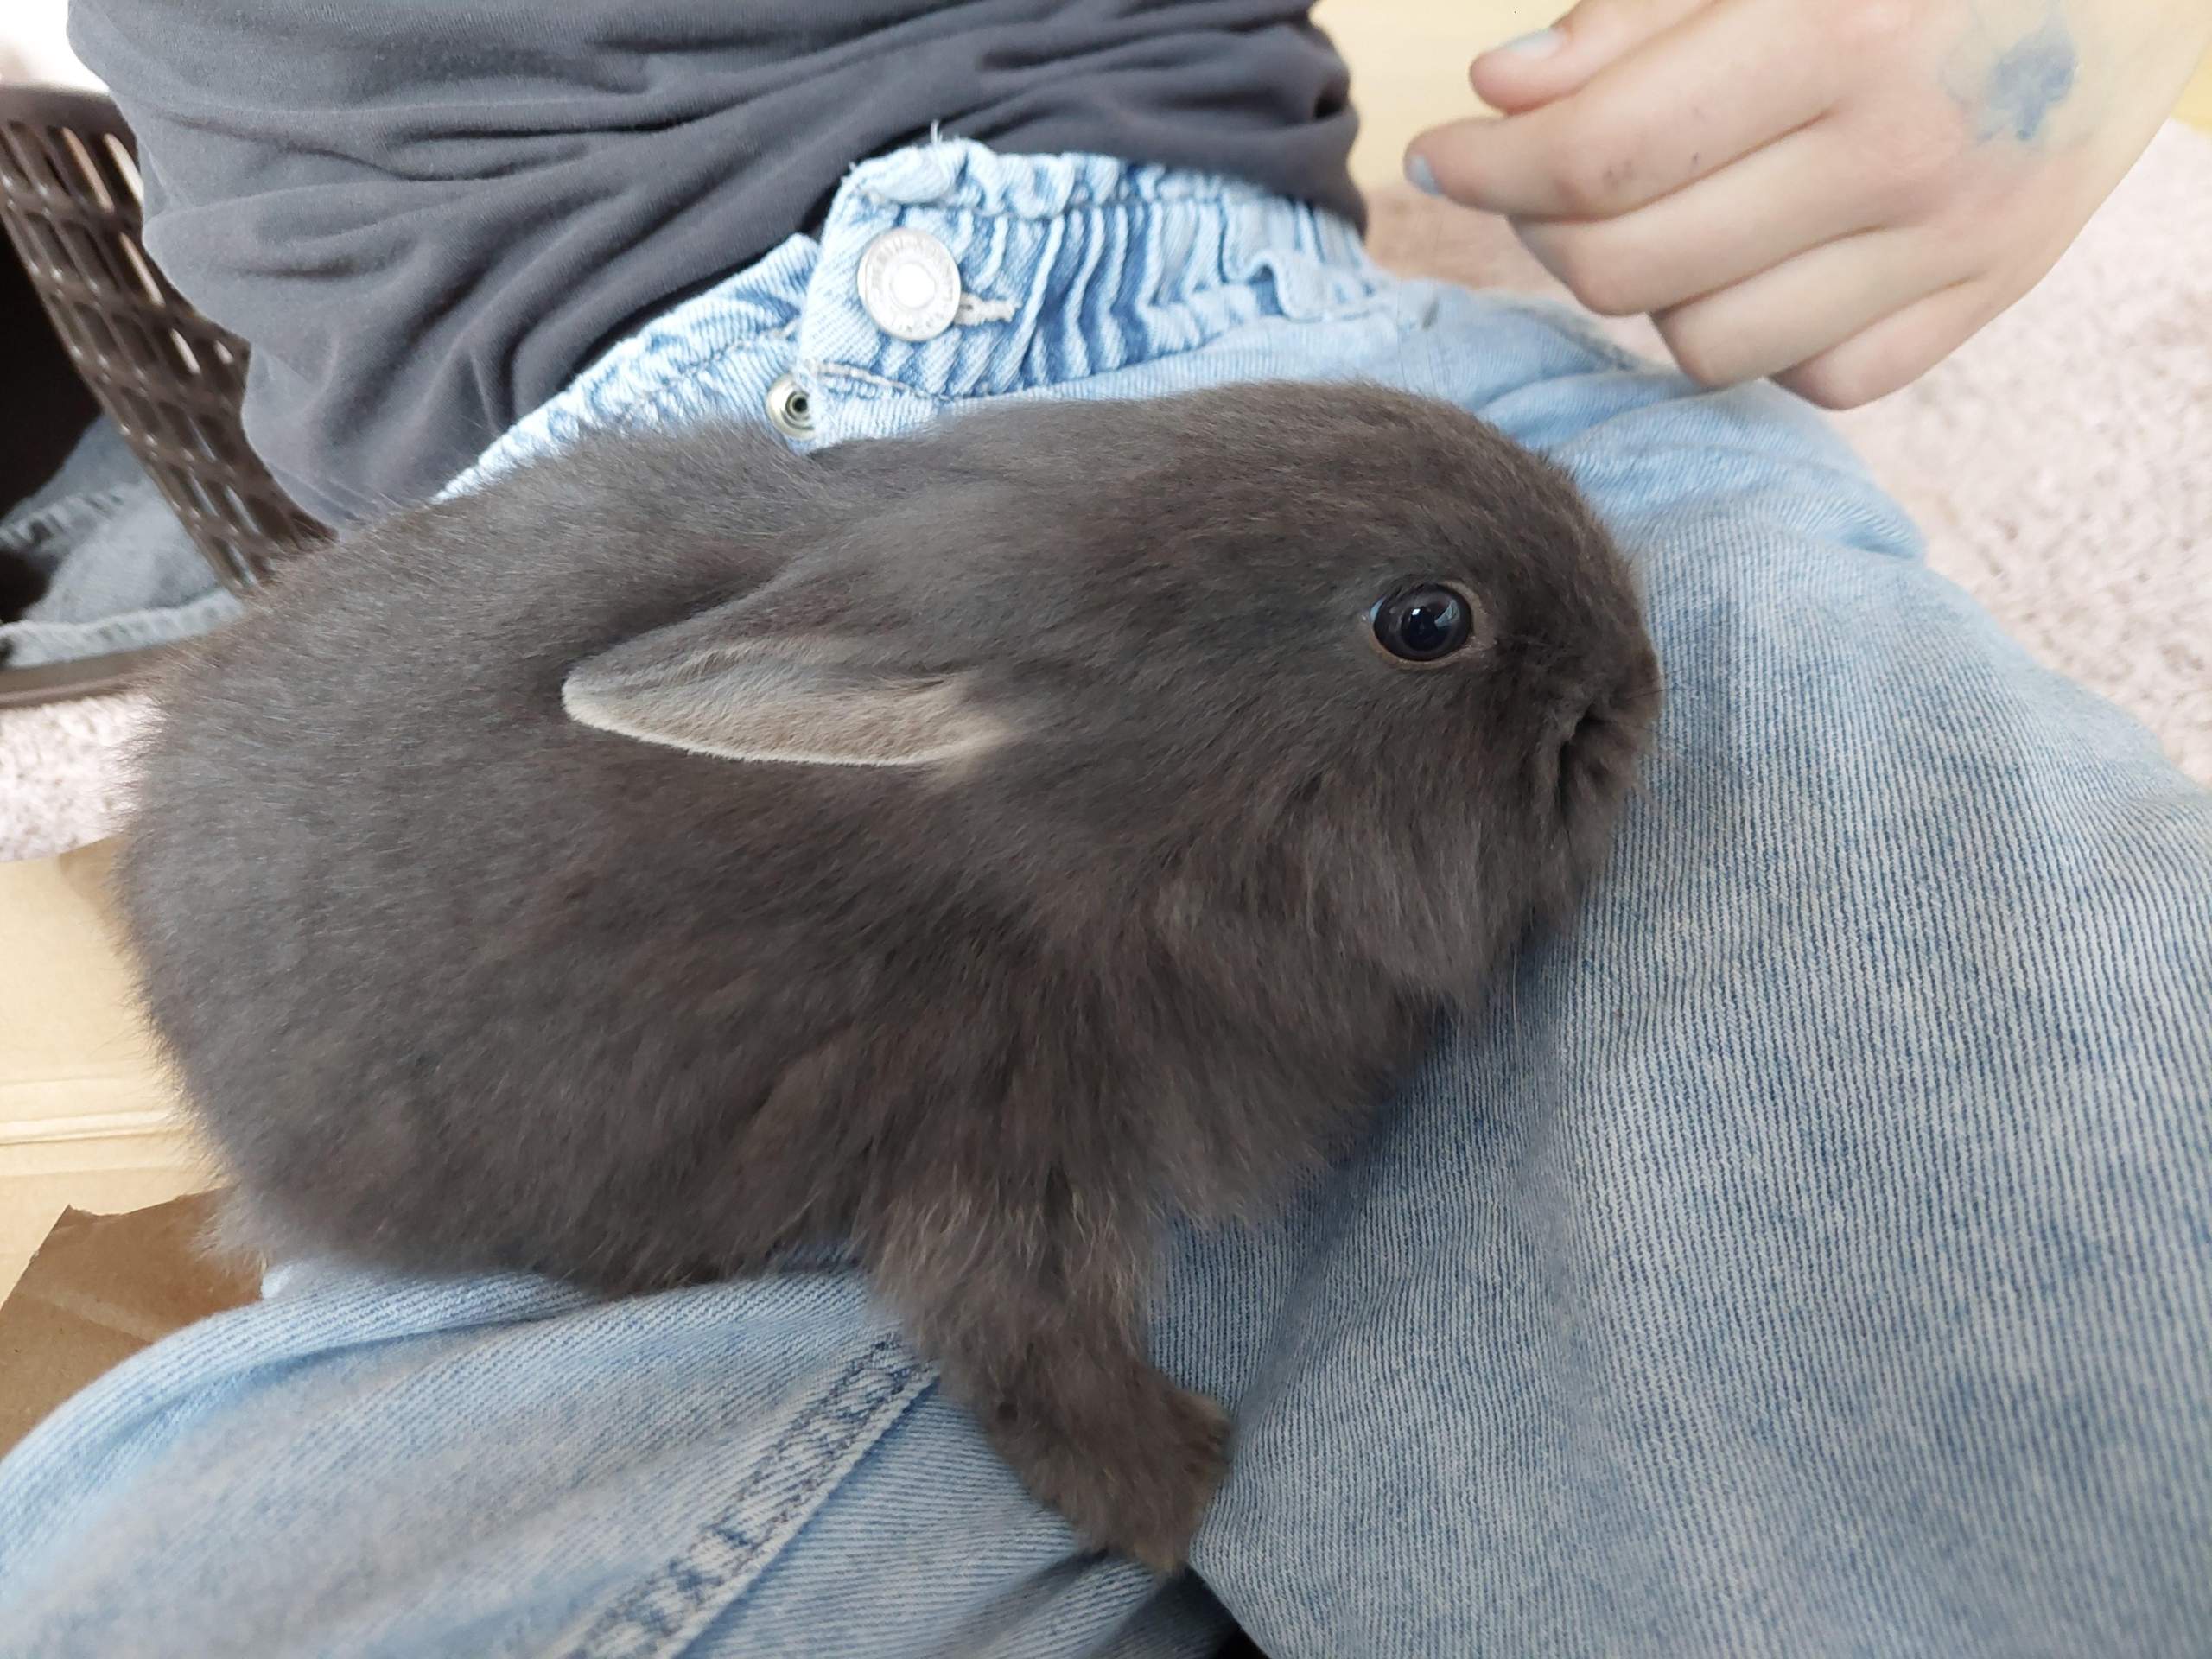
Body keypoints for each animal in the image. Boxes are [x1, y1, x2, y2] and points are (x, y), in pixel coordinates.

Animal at [115, 381, 1661, 1571]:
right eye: (1425, 622)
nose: (1638, 684)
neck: (1098, 834)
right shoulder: (990, 1127)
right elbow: (1019, 1342)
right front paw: (1174, 1504)